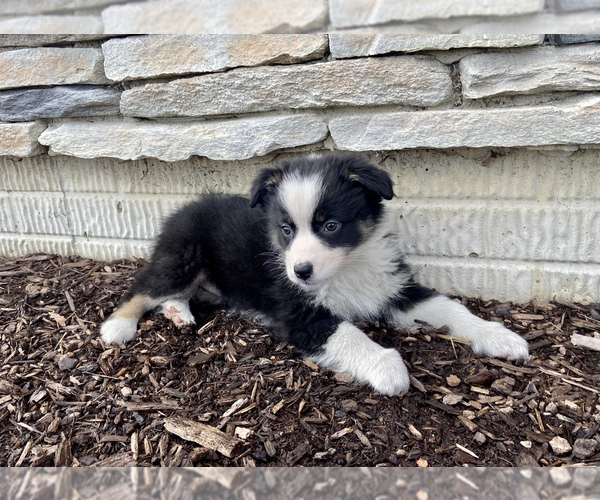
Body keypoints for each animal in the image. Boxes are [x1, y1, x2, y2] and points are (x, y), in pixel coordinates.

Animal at [101, 152, 528, 394]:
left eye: (330, 226)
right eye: (286, 229)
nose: (301, 272)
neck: (348, 267)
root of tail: (183, 209)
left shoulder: (393, 287)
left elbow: (449, 308)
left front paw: (499, 336)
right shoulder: (300, 312)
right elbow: (348, 334)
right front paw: (387, 367)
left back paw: (178, 311)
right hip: (183, 258)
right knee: (143, 287)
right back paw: (118, 327)